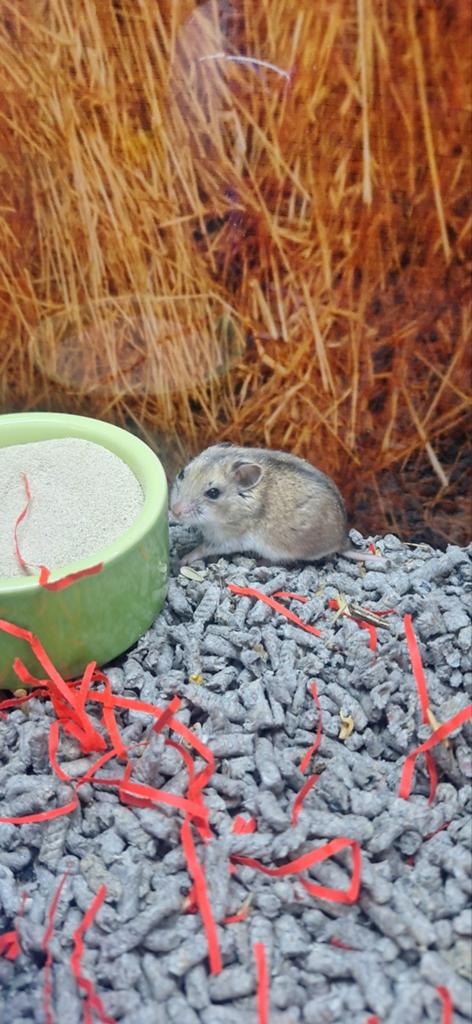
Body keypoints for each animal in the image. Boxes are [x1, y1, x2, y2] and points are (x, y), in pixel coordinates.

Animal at [170, 442, 372, 566]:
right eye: (181, 473)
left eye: (213, 493)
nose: (174, 511)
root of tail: (343, 541)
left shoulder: (228, 539)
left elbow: (202, 548)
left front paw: (183, 559)